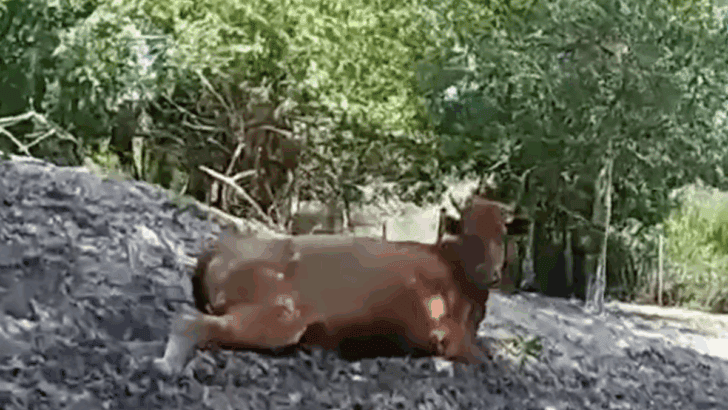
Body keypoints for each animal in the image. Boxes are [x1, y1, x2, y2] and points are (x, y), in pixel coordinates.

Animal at [153, 196, 512, 375]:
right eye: (468, 232)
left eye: (503, 234)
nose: (492, 273)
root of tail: (218, 248)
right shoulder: (445, 337)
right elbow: (484, 357)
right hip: (280, 317)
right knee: (190, 321)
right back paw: (166, 367)